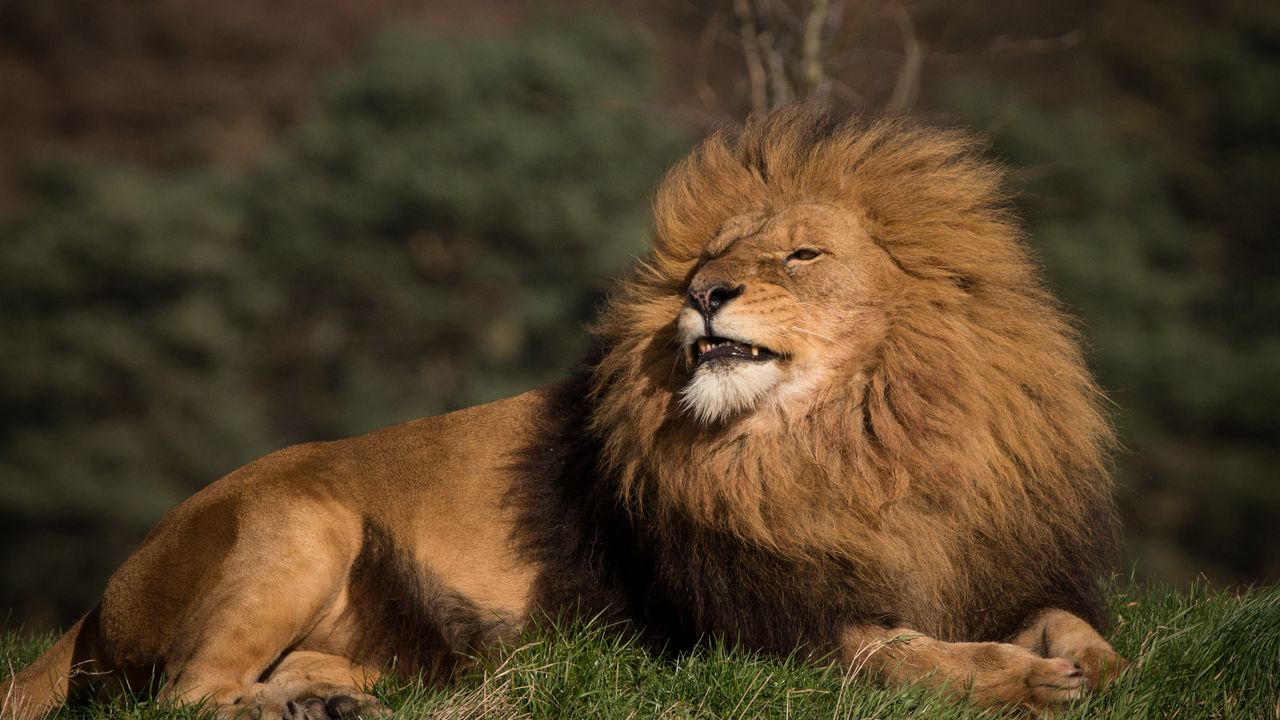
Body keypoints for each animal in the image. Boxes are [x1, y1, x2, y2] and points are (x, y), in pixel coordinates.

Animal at [2, 105, 1125, 719]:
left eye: (800, 253)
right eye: (713, 251)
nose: (703, 292)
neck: (851, 445)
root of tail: (97, 597)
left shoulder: (993, 563)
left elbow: (1079, 632)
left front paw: (1095, 668)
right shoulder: (753, 629)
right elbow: (906, 658)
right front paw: (1028, 684)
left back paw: (326, 701)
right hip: (301, 519)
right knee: (181, 693)